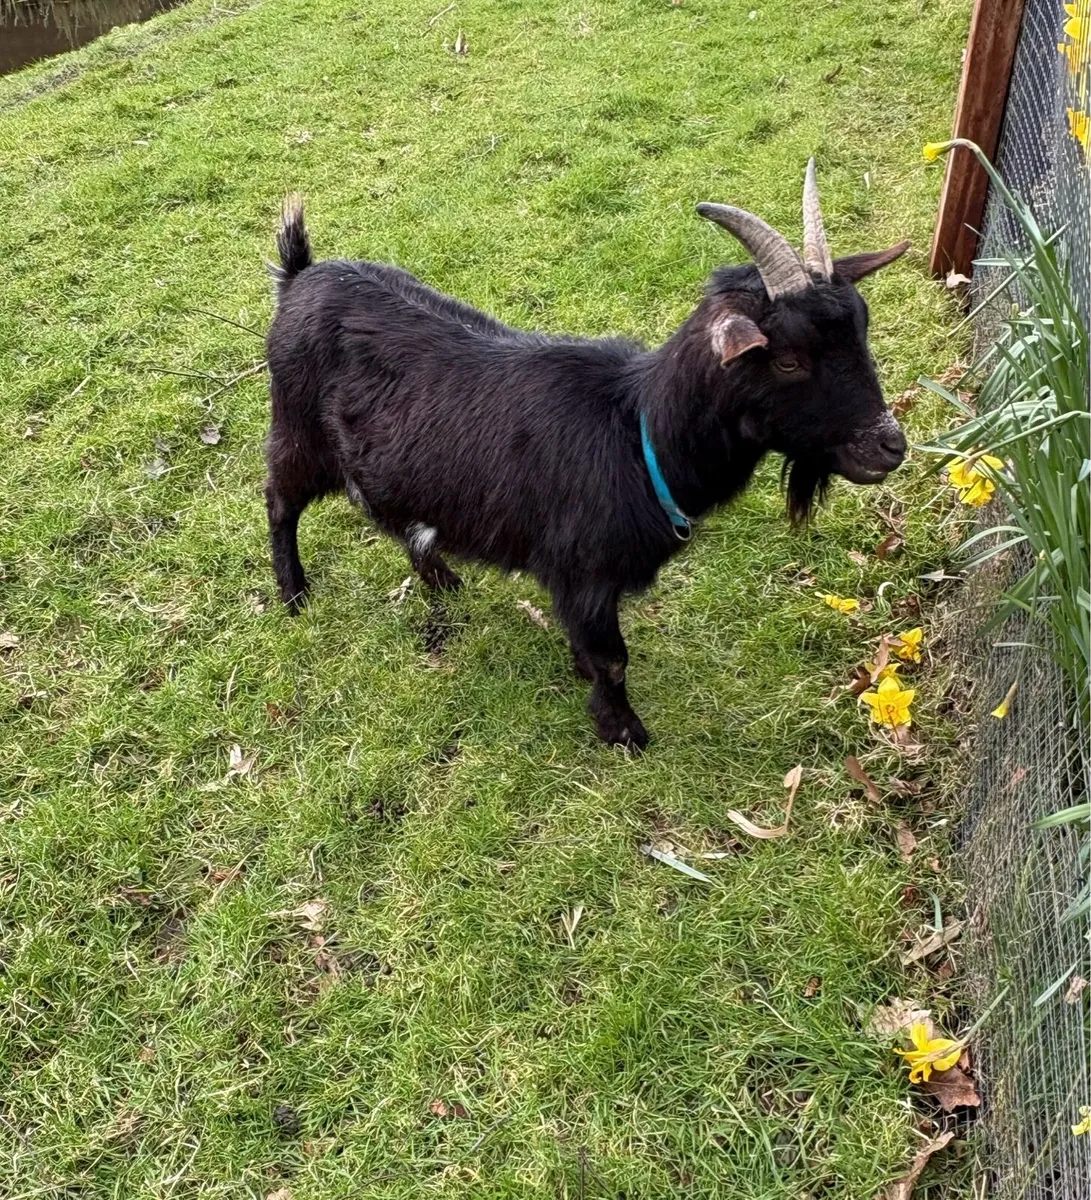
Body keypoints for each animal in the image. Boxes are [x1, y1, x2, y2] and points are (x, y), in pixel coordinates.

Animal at [264, 160, 908, 750]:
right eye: (788, 360)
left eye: (861, 331)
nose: (891, 445)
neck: (638, 434)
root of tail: (299, 277)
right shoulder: (585, 571)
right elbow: (612, 660)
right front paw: (624, 731)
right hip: (298, 432)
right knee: (279, 502)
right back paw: (295, 597)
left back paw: (443, 580)